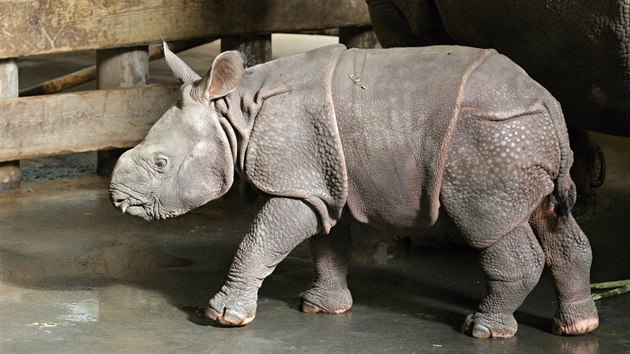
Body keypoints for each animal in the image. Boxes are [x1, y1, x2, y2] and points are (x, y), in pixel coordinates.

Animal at [111, 42, 600, 338]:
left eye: (160, 163)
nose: (117, 199)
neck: (236, 113)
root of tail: (548, 100)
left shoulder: (298, 183)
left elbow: (259, 240)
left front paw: (224, 317)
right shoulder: (325, 182)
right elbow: (328, 245)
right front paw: (323, 309)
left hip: (489, 140)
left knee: (489, 226)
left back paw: (481, 329)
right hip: (518, 135)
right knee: (551, 218)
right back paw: (578, 327)